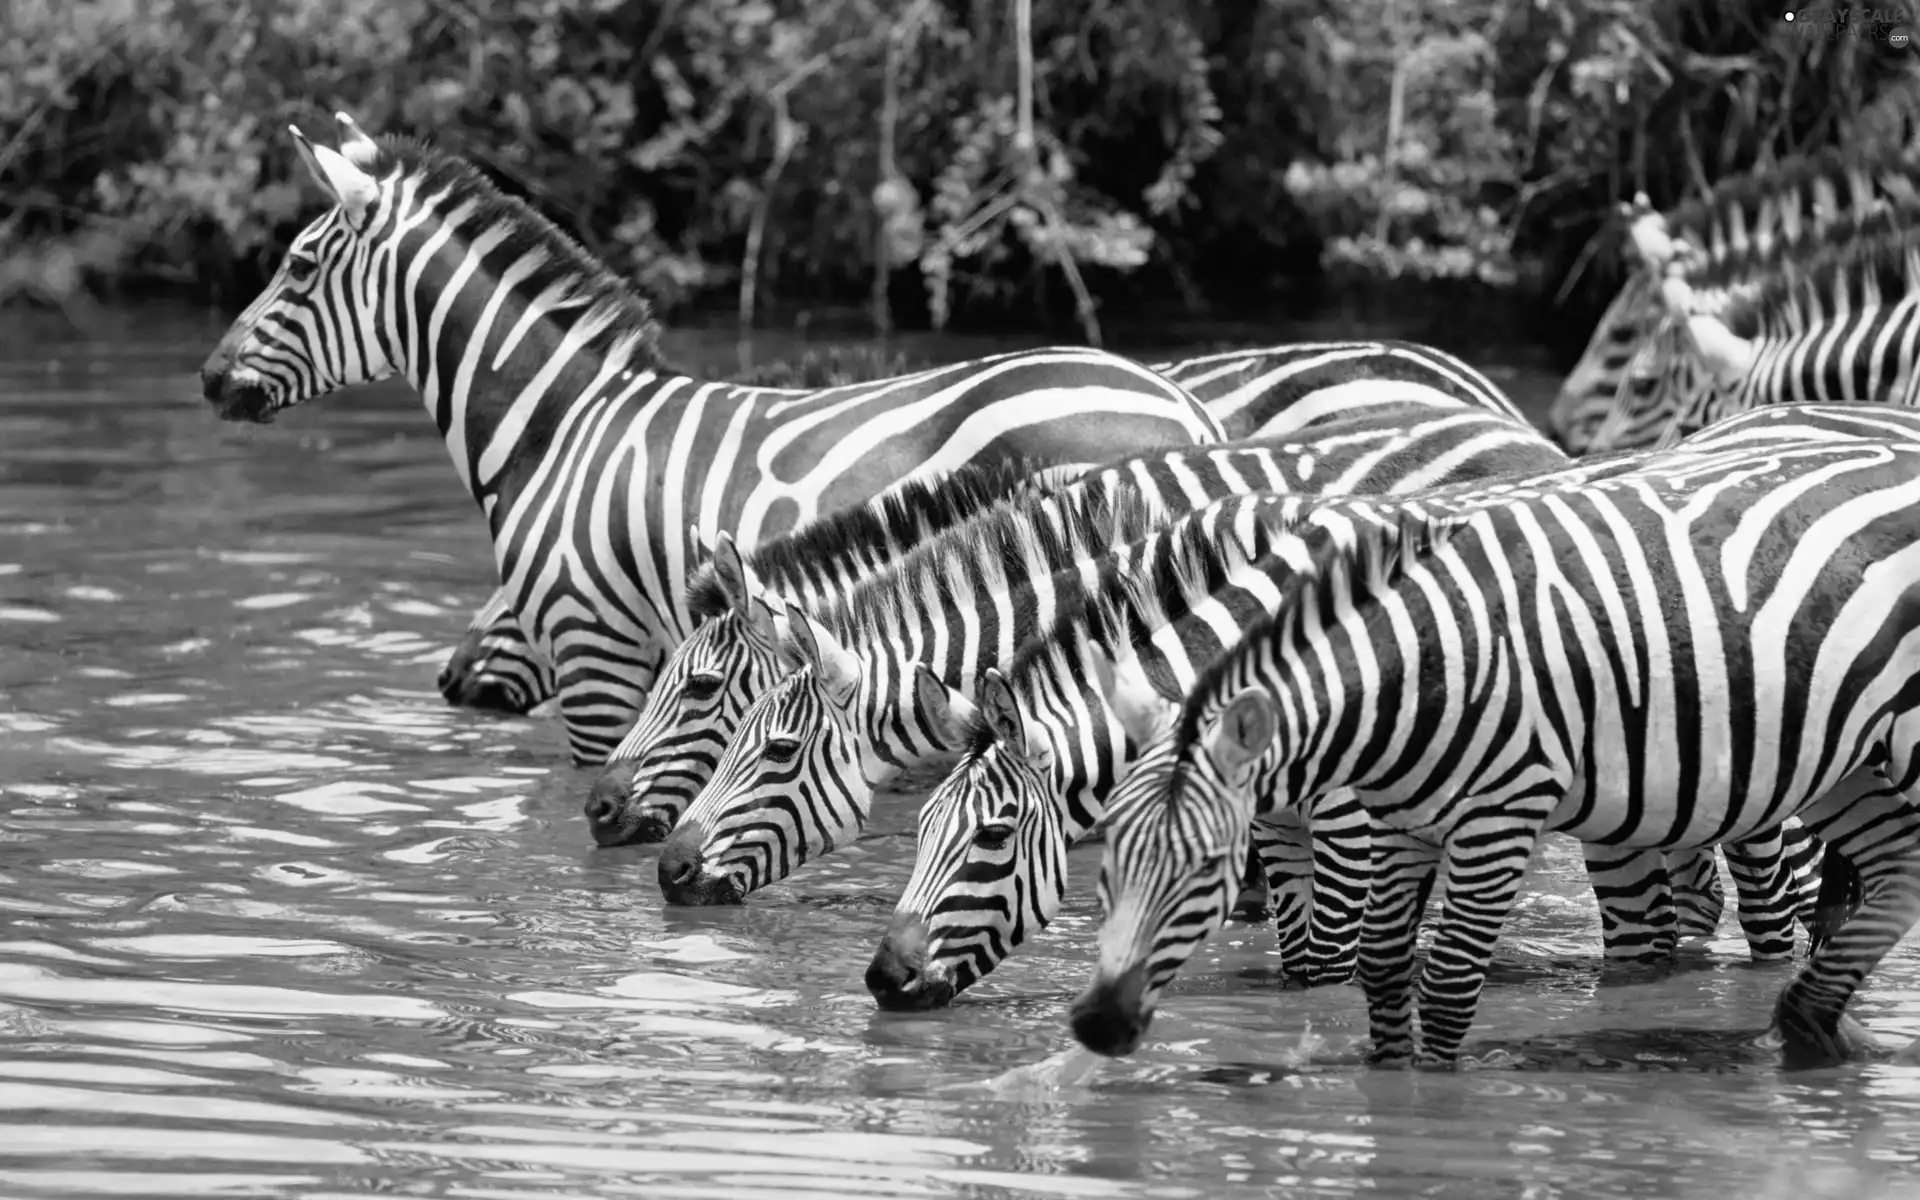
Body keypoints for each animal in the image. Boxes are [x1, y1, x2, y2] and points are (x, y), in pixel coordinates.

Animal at [1075, 430, 1920, 1067]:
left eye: (1207, 869)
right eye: (1108, 859)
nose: (1096, 1025)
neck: (1417, 669)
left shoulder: (1499, 815)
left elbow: (1447, 983)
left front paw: (1438, 1101)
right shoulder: (1402, 824)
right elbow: (1383, 969)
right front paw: (1386, 1089)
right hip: (1844, 761)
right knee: (1894, 866)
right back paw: (1816, 1025)